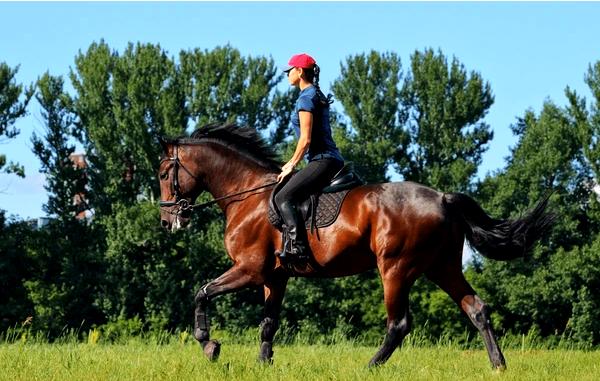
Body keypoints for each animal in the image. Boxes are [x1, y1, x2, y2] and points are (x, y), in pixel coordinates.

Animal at [158, 123, 552, 370]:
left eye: (164, 174)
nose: (167, 220)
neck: (247, 195)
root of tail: (442, 197)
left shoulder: (250, 270)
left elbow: (202, 292)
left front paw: (209, 344)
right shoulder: (274, 277)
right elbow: (268, 323)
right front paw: (263, 364)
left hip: (396, 269)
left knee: (399, 324)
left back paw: (370, 366)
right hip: (442, 266)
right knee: (476, 308)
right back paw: (499, 365)